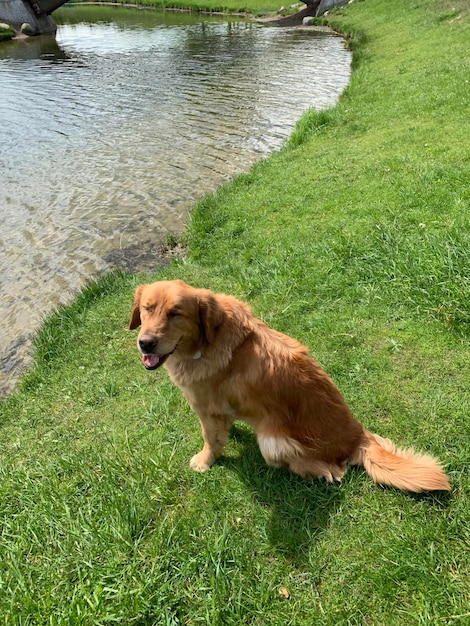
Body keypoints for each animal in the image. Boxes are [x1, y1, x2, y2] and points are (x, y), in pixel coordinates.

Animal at [129, 280, 452, 490]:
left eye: (175, 313)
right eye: (146, 309)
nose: (145, 343)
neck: (207, 341)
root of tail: (357, 437)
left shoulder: (206, 408)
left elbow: (211, 440)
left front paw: (204, 461)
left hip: (272, 441)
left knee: (333, 469)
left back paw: (321, 471)